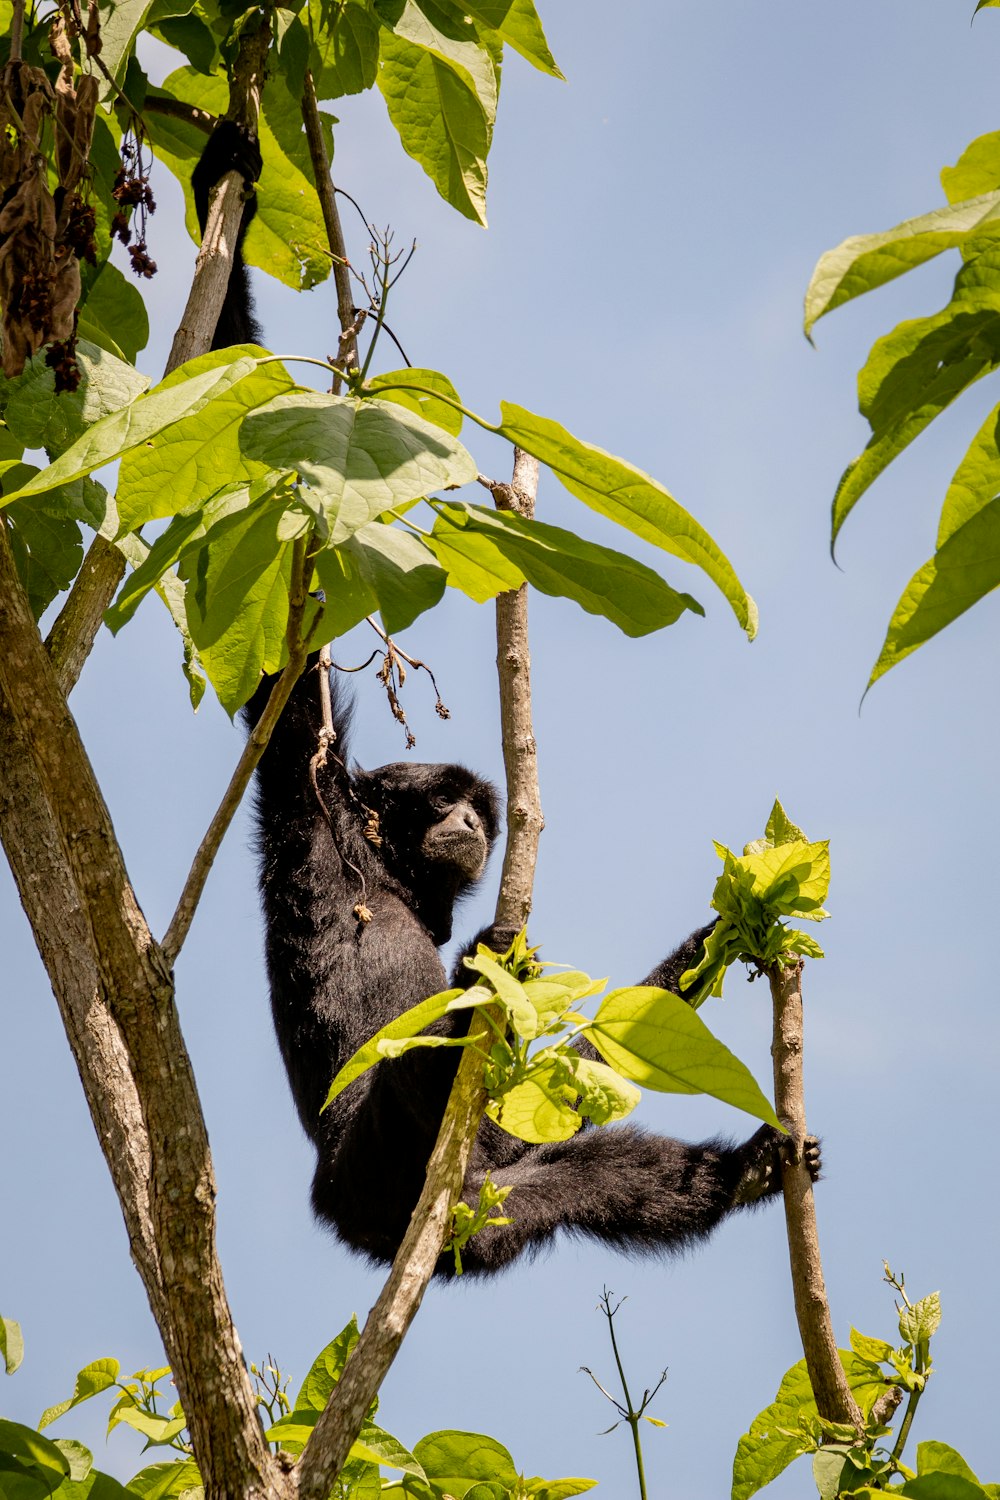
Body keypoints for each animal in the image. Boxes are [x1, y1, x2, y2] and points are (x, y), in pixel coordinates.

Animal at [189, 129, 821, 1272]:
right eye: (437, 801)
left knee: (585, 1174)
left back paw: (741, 1174)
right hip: (378, 1158)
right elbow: (284, 684)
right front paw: (228, 169)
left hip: (488, 1194)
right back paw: (487, 967)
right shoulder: (311, 810)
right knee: (431, 1047)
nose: (467, 824)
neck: (392, 880)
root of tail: (365, 1221)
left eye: (471, 807)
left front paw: (737, 929)